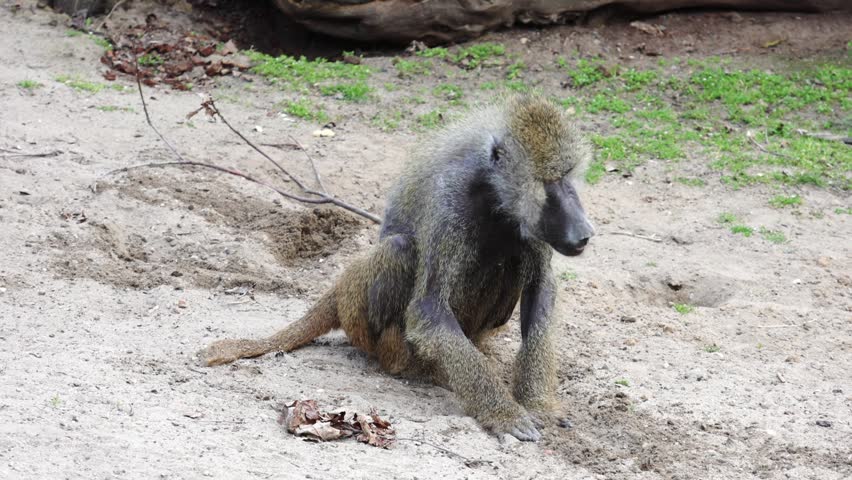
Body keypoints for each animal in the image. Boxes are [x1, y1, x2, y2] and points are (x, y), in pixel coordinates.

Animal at [197, 94, 595, 442]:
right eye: (549, 183)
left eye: (567, 177)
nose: (584, 232)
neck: (495, 194)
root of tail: (341, 288)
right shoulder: (449, 202)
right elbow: (429, 311)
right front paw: (504, 413)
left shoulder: (531, 228)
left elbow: (540, 295)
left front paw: (537, 404)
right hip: (367, 325)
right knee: (400, 251)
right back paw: (414, 366)